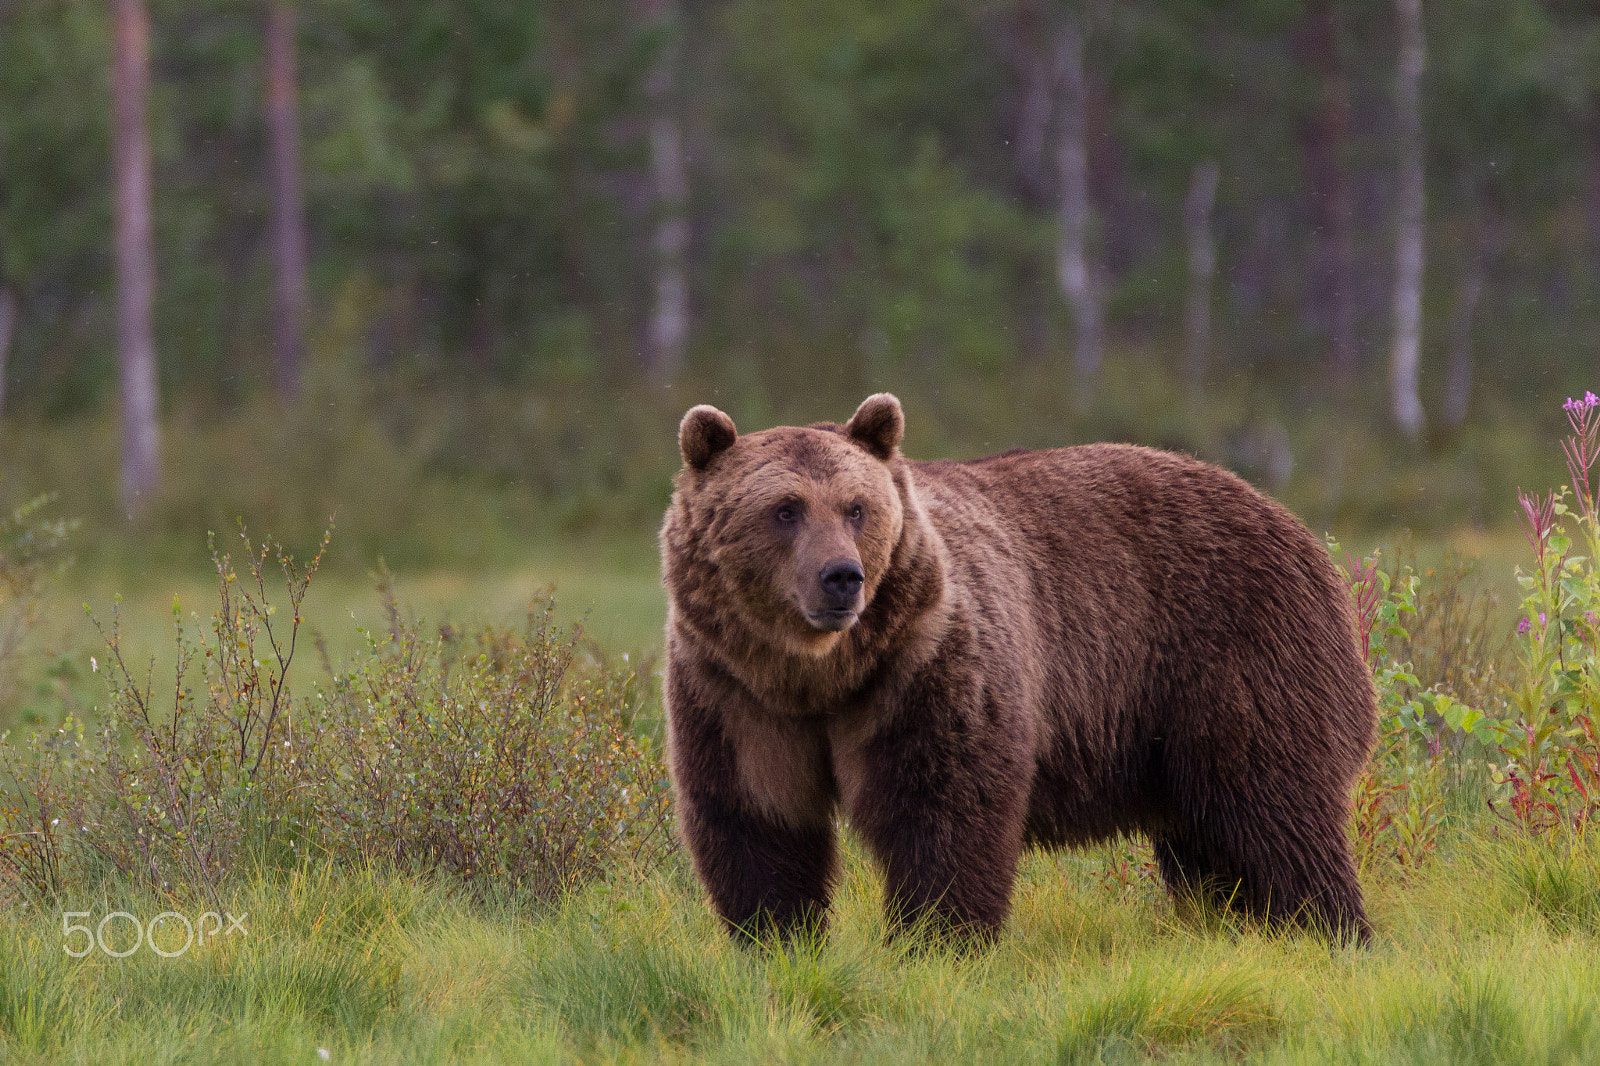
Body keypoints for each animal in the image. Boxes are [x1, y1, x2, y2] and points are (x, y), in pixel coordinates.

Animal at [659, 393, 1377, 945]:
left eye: (856, 507)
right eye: (785, 509)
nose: (842, 577)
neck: (821, 676)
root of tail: (1296, 527)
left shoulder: (923, 664)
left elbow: (944, 805)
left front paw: (936, 943)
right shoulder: (734, 692)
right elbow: (756, 816)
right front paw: (775, 940)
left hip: (1236, 657)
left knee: (1275, 814)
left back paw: (1329, 930)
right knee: (1209, 843)